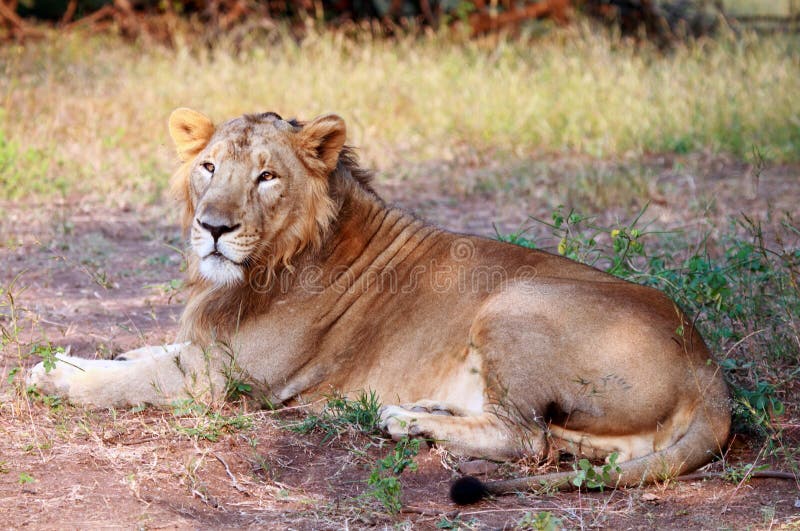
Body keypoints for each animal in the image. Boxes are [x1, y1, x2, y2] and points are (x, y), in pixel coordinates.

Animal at [29, 109, 732, 502]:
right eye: (207, 168)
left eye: (267, 176)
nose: (213, 228)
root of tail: (708, 368)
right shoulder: (205, 345)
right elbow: (142, 352)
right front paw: (83, 357)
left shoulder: (224, 376)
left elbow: (132, 378)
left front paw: (53, 376)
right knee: (565, 445)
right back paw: (424, 411)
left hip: (516, 302)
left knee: (527, 438)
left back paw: (403, 420)